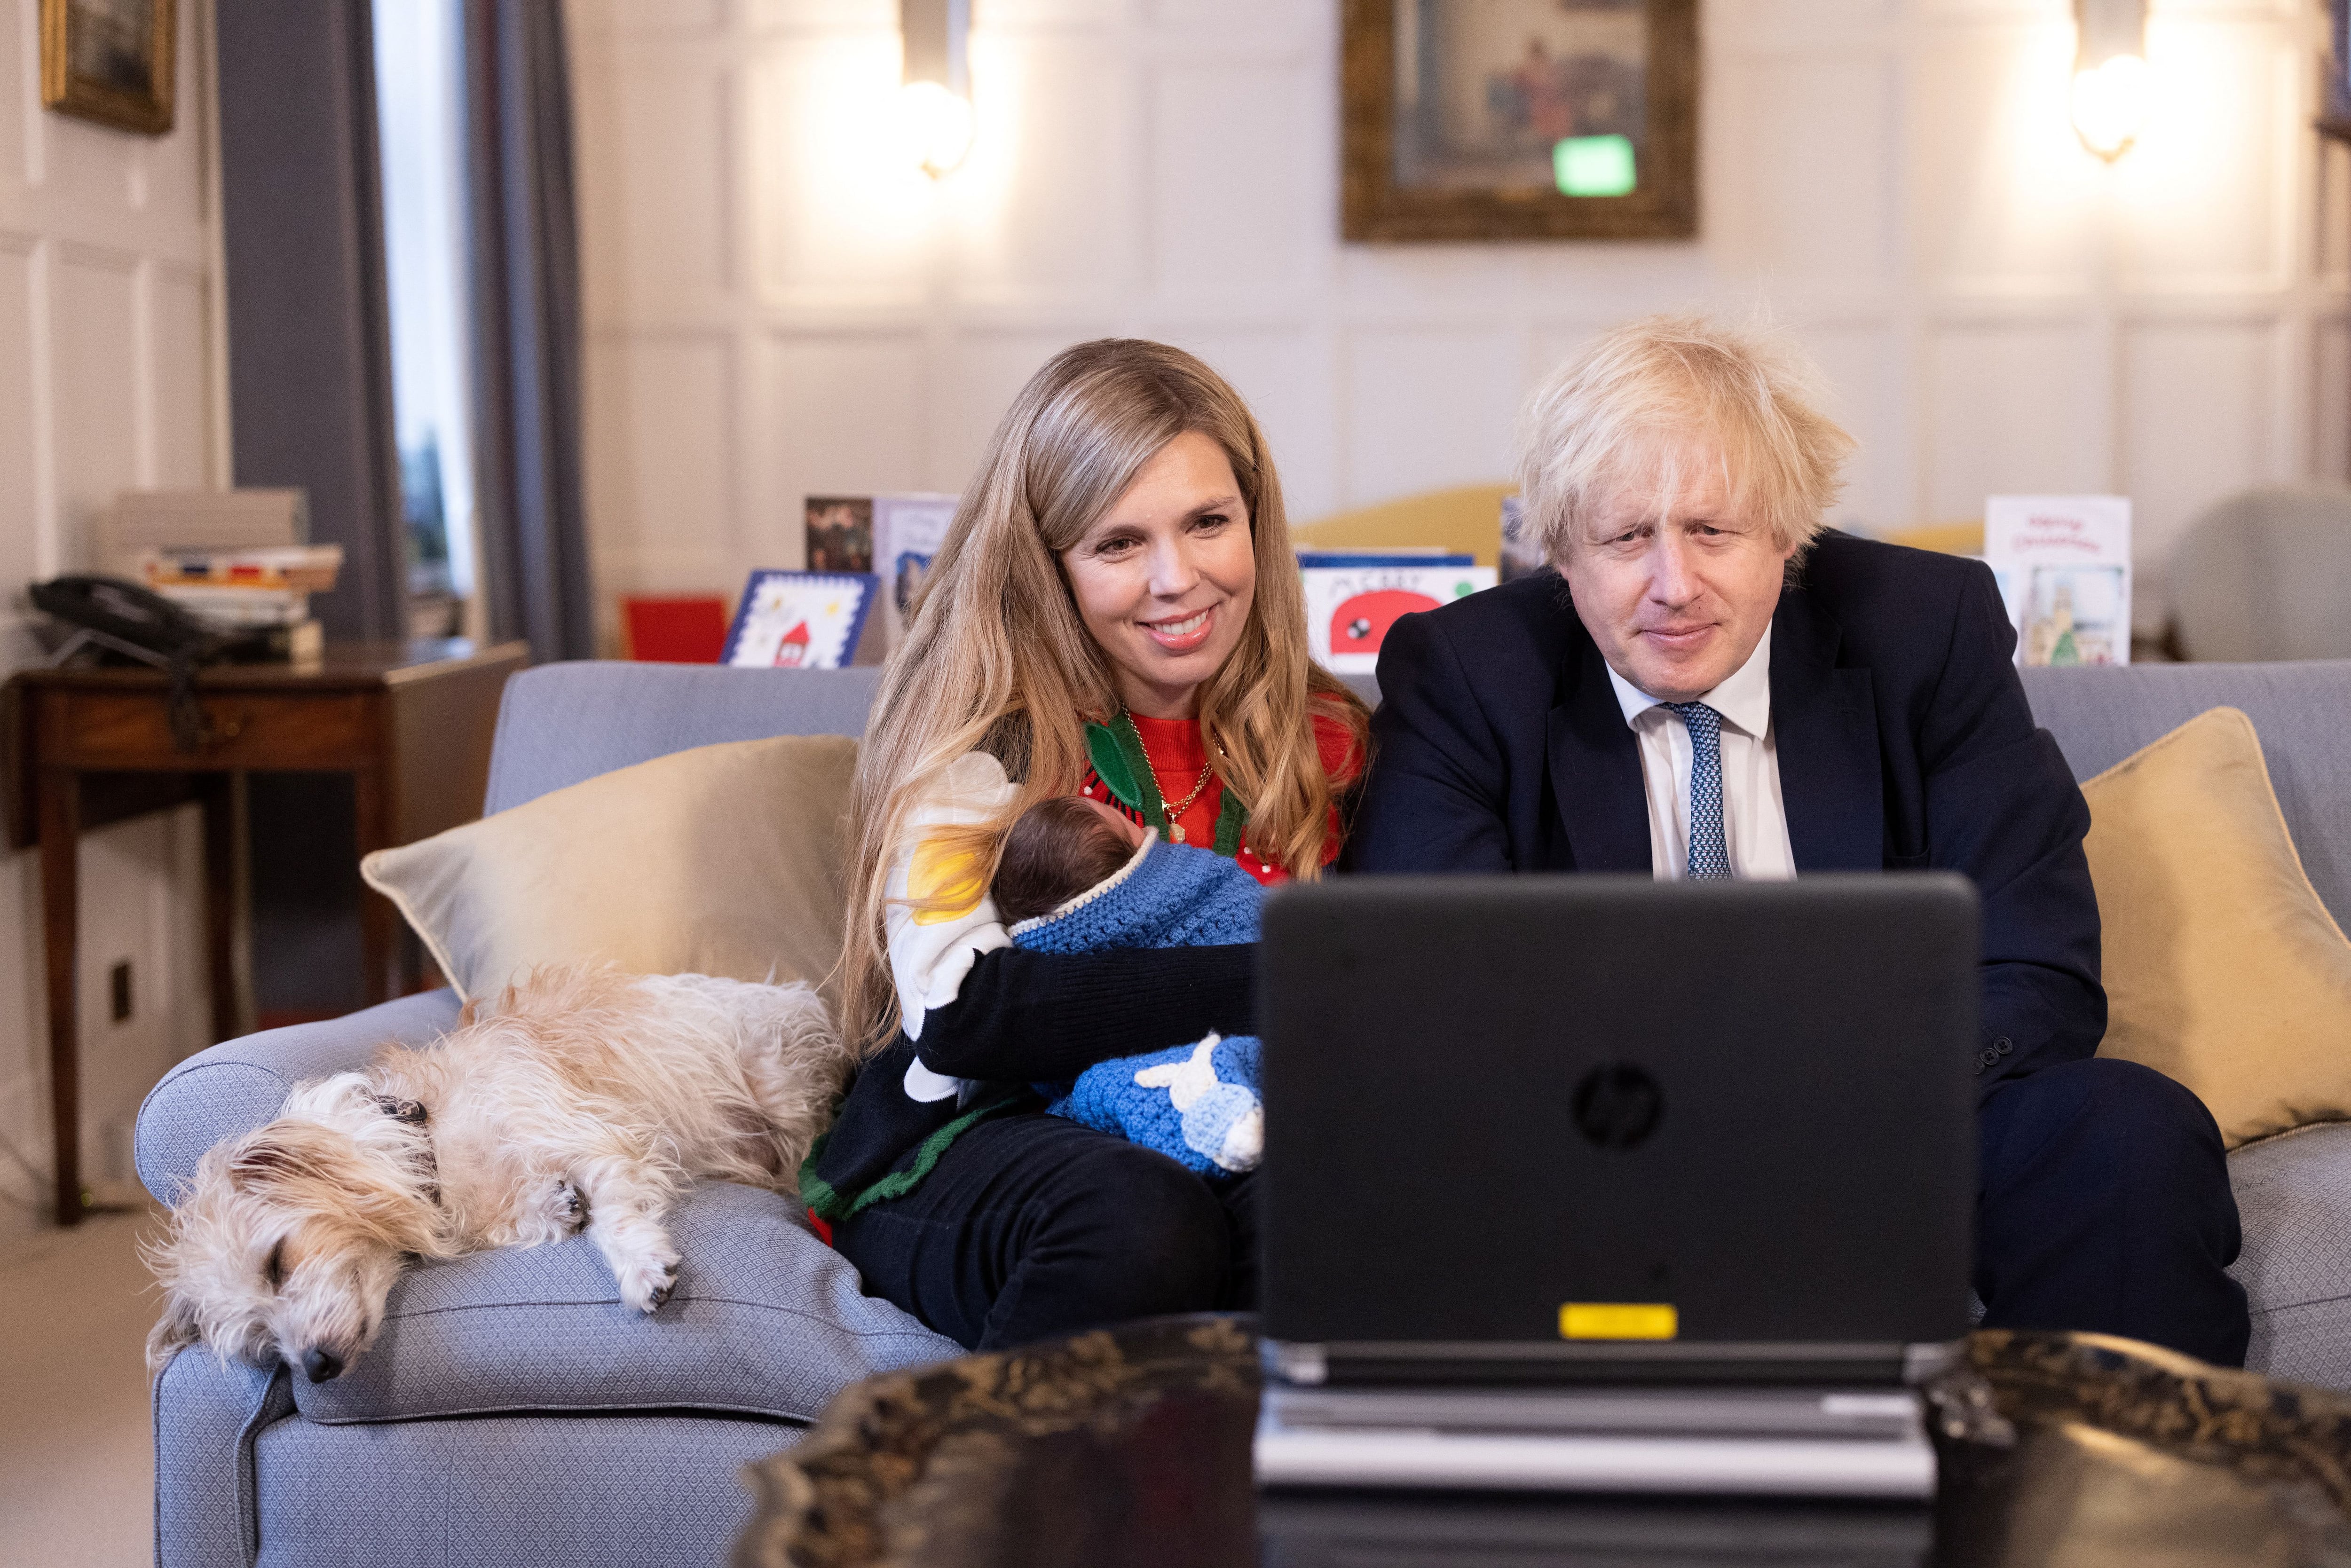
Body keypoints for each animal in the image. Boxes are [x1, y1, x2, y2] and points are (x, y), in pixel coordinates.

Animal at [144, 969, 856, 1382]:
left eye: (277, 1263)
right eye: (262, 1344)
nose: (314, 1368)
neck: (430, 1134)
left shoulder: (590, 1134)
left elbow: (615, 1218)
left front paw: (638, 1265)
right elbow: (547, 1212)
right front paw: (553, 1206)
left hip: (781, 1092)